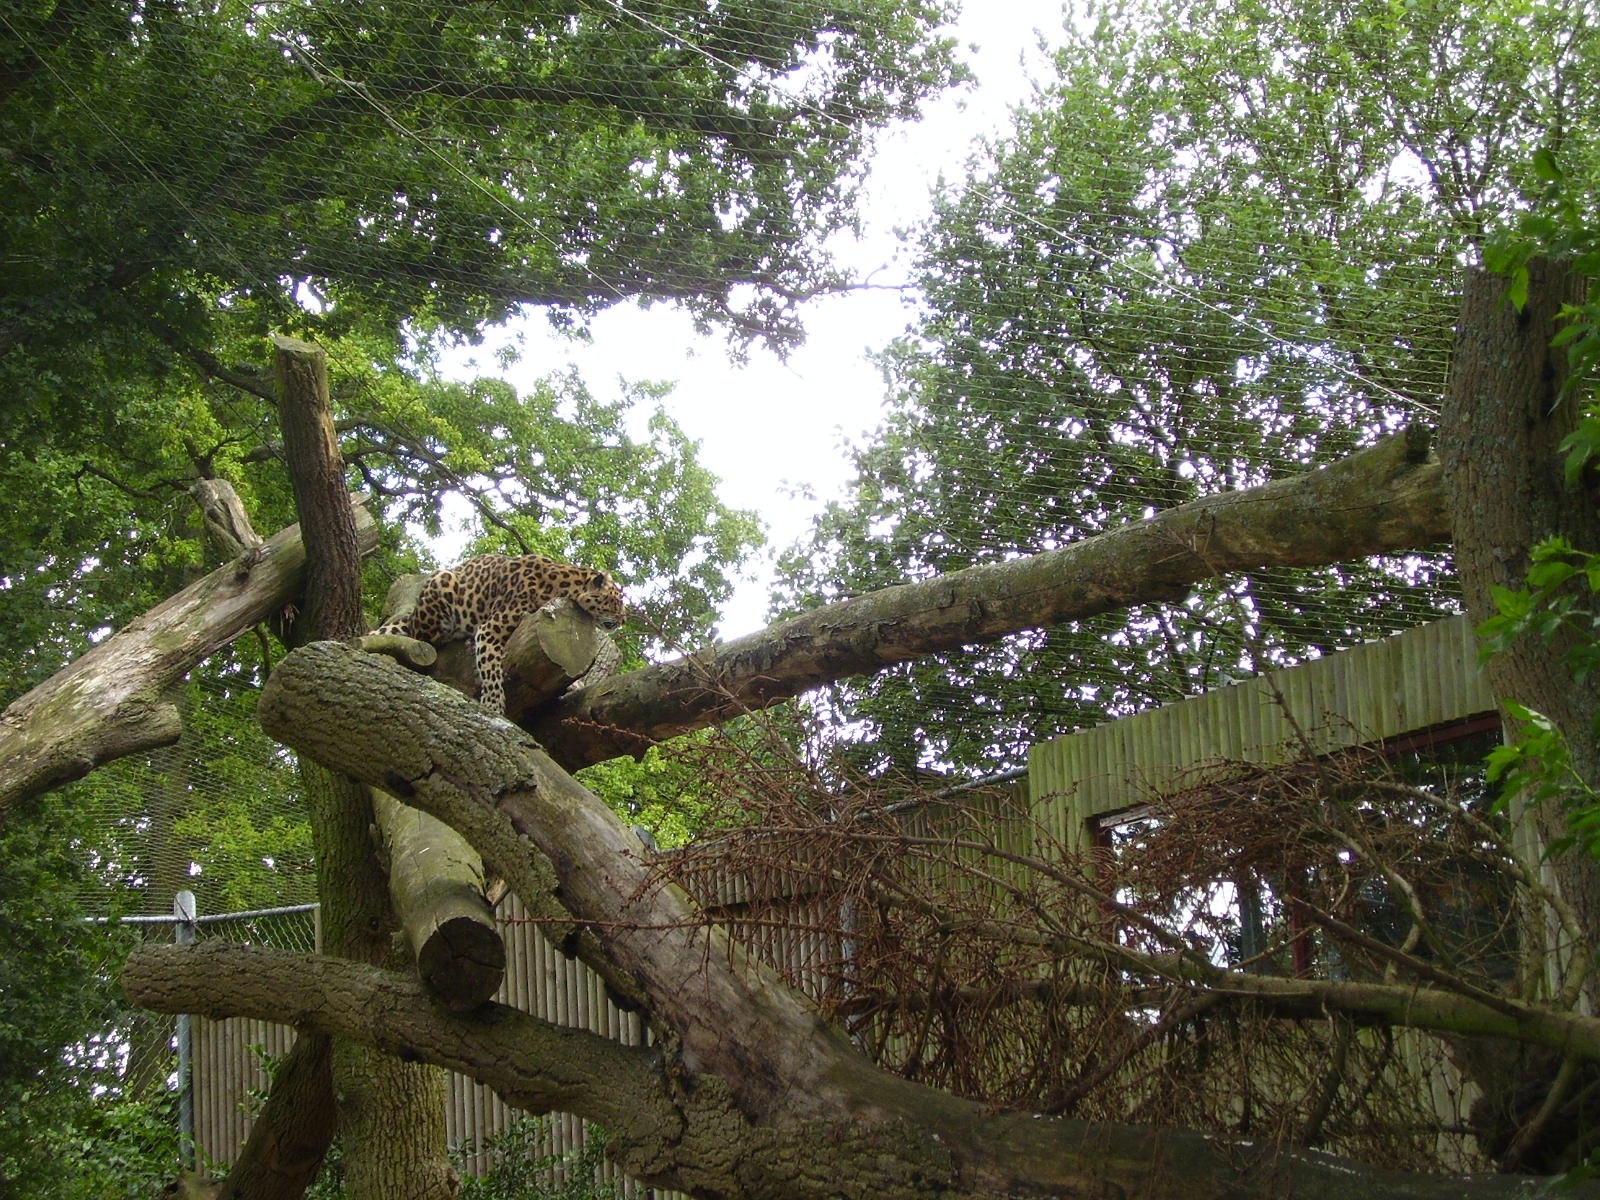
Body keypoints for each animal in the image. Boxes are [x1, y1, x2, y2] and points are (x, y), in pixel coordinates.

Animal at [375, 553, 625, 716]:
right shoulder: (490, 629)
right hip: (441, 587)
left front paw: (575, 684)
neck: (562, 586)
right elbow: (491, 670)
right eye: (616, 601)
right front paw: (493, 705)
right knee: (420, 633)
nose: (623, 619)